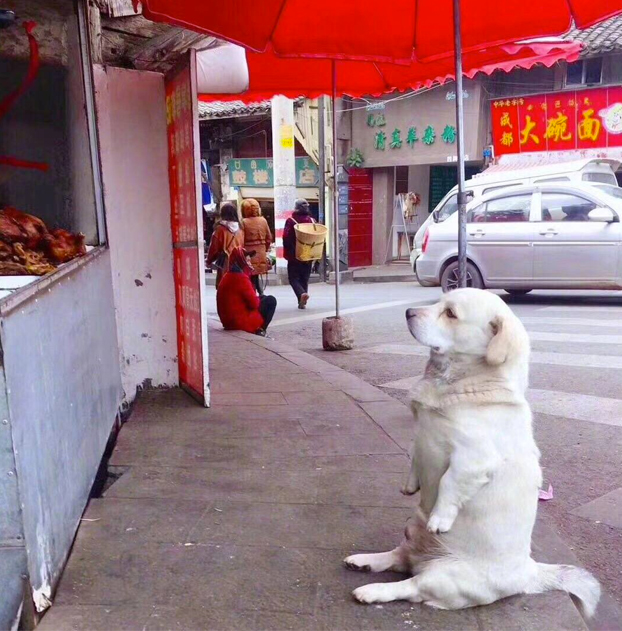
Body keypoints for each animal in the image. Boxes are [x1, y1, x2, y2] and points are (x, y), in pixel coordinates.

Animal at [344, 290, 604, 616]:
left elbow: (449, 484)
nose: (408, 312)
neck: (458, 383)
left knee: (410, 585)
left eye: (450, 313)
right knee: (398, 557)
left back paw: (372, 590)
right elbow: (415, 455)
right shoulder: (420, 435)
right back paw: (365, 562)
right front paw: (410, 484)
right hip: (411, 529)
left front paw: (440, 517)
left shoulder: (473, 459)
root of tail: (528, 572)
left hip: (443, 575)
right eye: (439, 302)